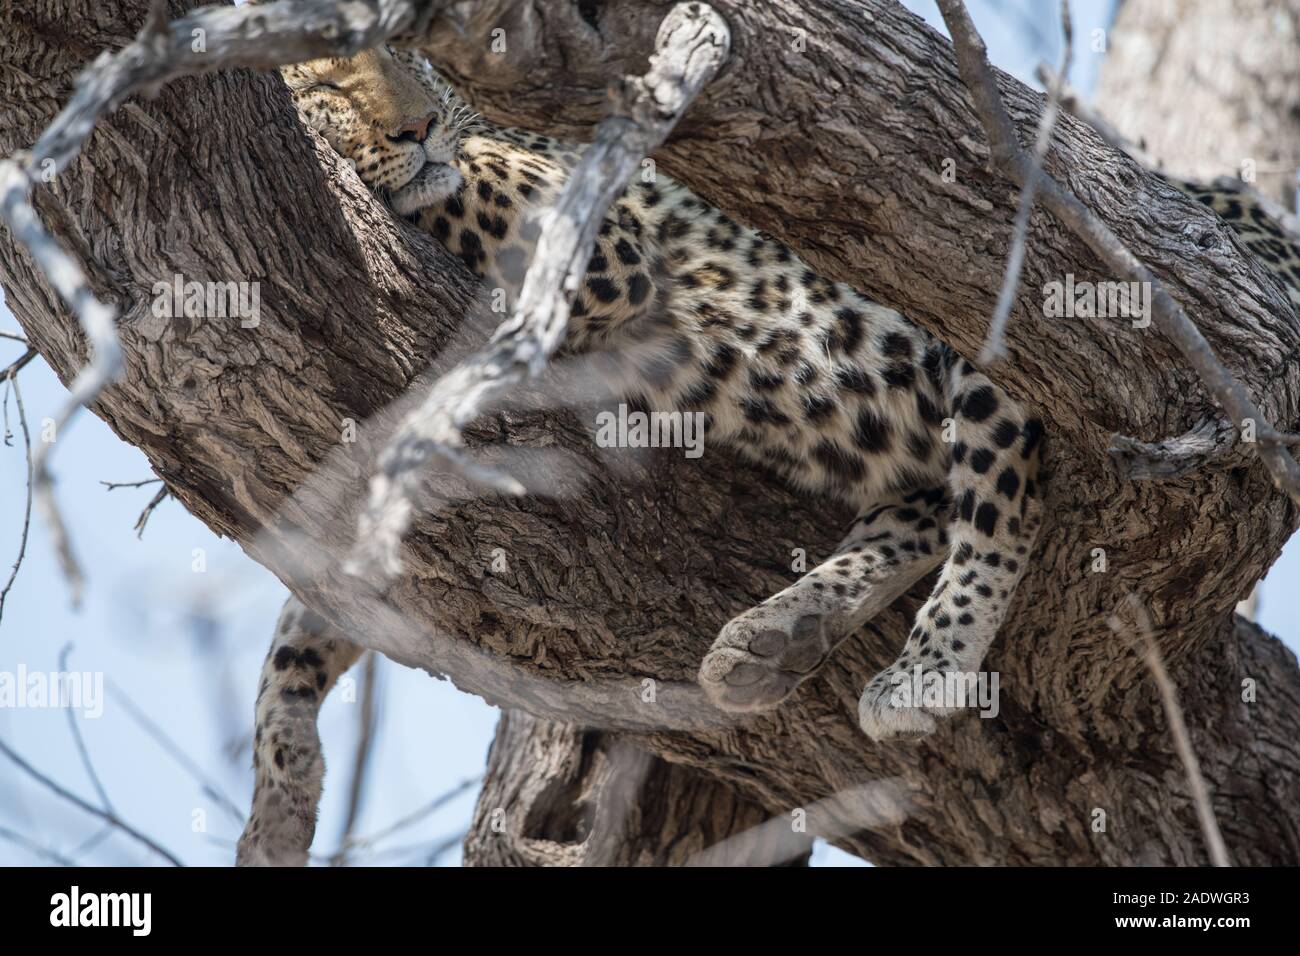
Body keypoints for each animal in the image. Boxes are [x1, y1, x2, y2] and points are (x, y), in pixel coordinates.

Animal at [235, 45, 1300, 866]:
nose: (415, 127)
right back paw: (783, 631)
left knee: (1002, 501)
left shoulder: (598, 239)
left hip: (995, 311)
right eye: (331, 76)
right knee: (931, 501)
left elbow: (463, 184)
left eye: (406, 60)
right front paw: (279, 800)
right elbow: (304, 619)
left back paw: (928, 665)